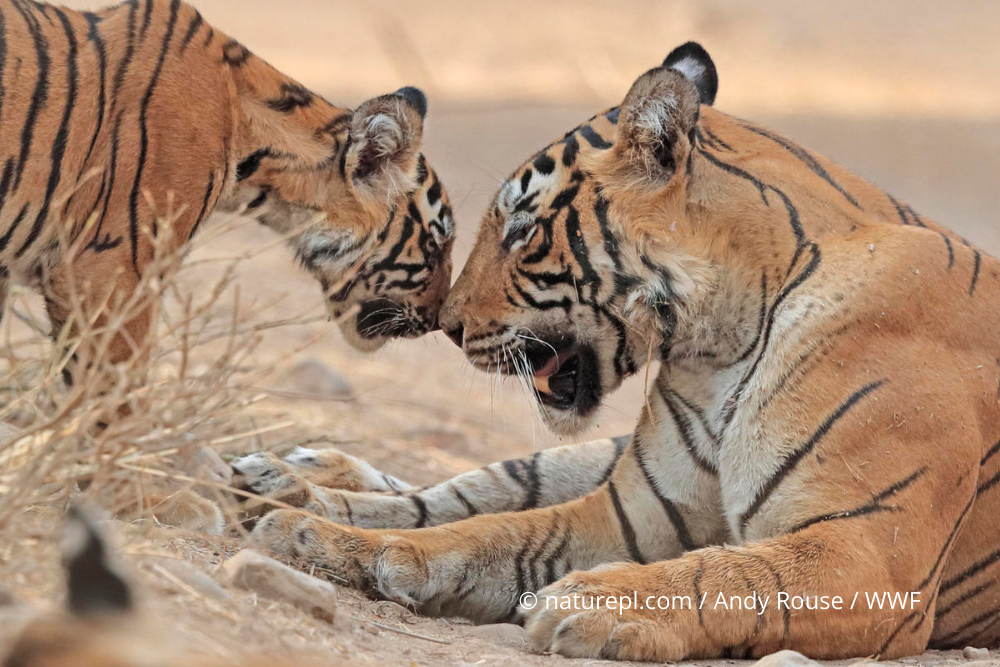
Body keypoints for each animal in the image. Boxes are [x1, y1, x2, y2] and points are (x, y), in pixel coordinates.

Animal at [247, 42, 1000, 661]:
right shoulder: (632, 513)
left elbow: (729, 573)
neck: (722, 342)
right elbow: (486, 533)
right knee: (470, 490)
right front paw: (320, 538)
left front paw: (593, 601)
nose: (449, 326)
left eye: (521, 230)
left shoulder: (870, 555)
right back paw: (286, 482)